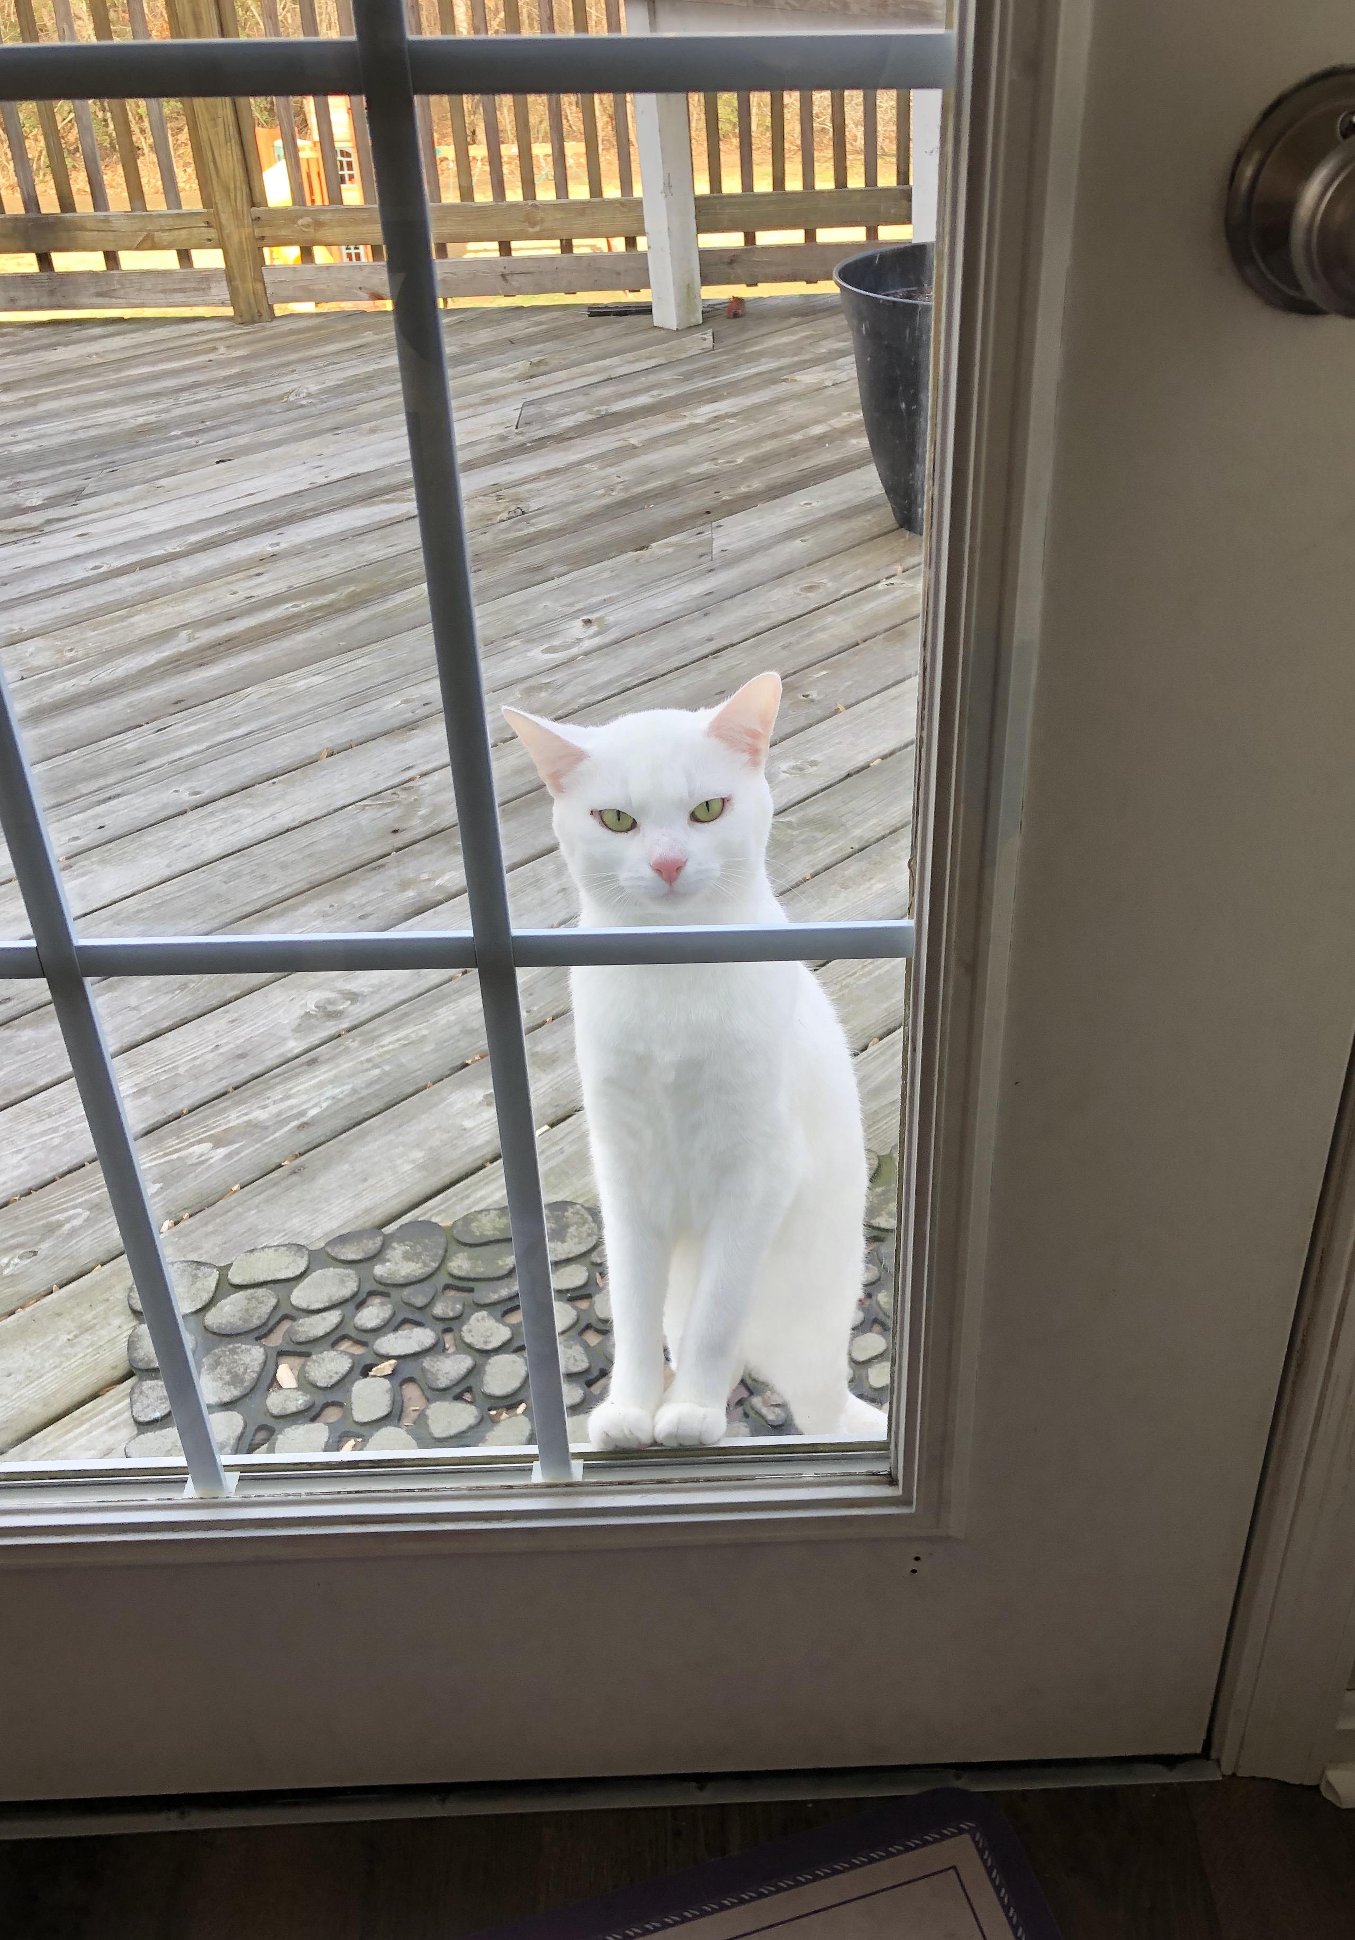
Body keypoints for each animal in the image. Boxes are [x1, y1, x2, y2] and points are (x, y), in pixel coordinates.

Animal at [503, 671, 887, 1450]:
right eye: (616, 820)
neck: (671, 985)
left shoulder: (758, 1175)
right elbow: (633, 1310)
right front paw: (630, 1407)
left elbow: (718, 1315)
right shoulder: (625, 1175)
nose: (668, 862)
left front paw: (691, 1413)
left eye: (707, 809)